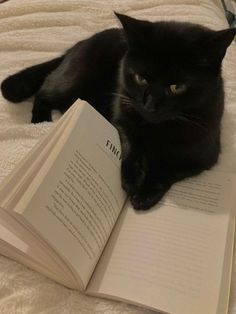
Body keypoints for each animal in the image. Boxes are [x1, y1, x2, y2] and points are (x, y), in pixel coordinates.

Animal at [0, 12, 235, 209]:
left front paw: (145, 193)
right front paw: (132, 179)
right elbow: (130, 145)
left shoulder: (203, 155)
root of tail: (80, 43)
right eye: (141, 78)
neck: (156, 129)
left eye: (177, 87)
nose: (150, 105)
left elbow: (168, 168)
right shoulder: (121, 117)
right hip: (73, 81)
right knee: (44, 91)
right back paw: (41, 120)